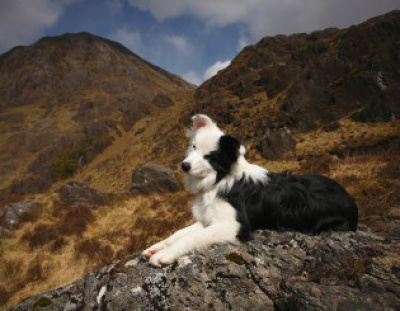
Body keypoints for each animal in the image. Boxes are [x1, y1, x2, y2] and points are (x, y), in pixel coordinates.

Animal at [142, 115, 358, 268]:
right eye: (193, 147)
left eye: (210, 157)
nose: (184, 166)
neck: (220, 178)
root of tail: (350, 198)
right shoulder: (210, 218)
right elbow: (179, 232)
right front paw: (155, 248)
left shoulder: (234, 224)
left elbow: (192, 237)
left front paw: (164, 255)